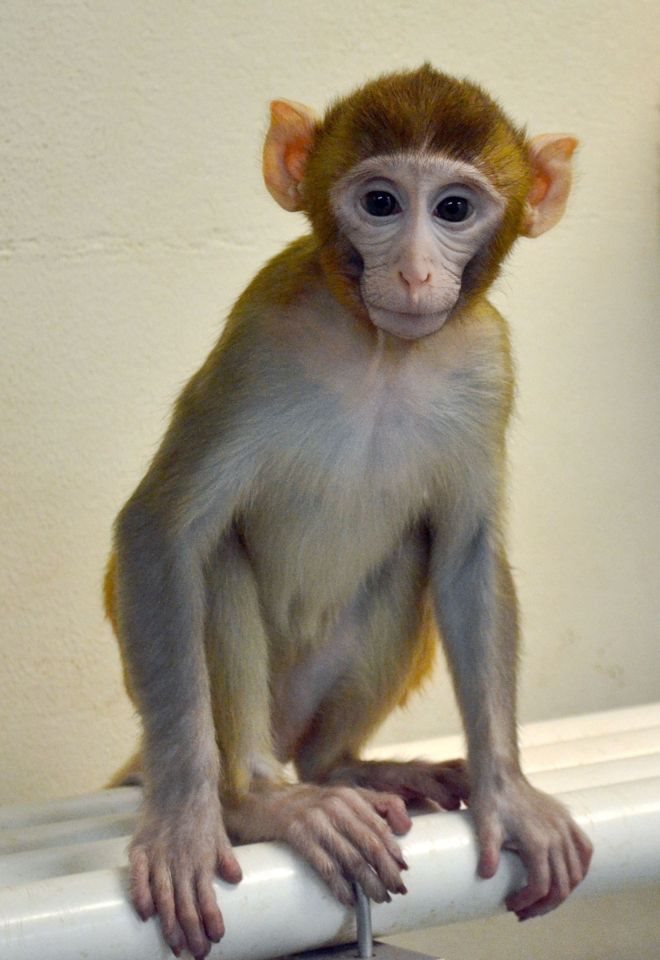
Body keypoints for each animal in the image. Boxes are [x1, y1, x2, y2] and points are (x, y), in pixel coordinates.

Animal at [105, 65, 593, 960]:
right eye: (380, 202)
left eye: (454, 208)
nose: (414, 274)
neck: (383, 354)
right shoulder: (259, 334)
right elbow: (163, 532)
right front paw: (187, 823)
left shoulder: (489, 363)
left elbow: (466, 554)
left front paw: (508, 792)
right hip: (256, 710)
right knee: (216, 557)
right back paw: (257, 799)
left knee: (411, 558)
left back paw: (347, 767)